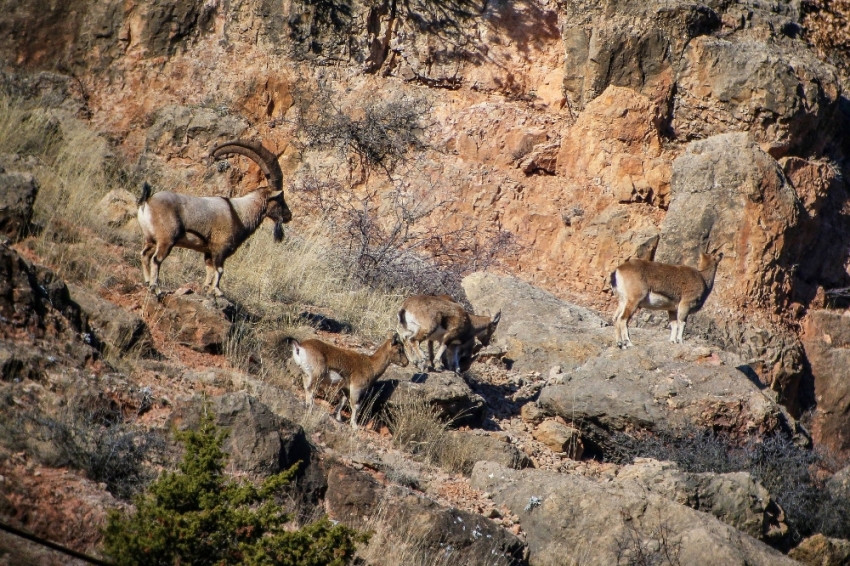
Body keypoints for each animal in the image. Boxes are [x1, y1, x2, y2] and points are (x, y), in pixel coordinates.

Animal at [134, 140, 290, 298]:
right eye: (280, 199)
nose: (288, 216)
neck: (240, 212)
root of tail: (147, 201)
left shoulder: (209, 251)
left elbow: (209, 270)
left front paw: (206, 289)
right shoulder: (221, 249)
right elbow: (220, 270)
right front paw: (217, 291)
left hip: (150, 239)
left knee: (144, 255)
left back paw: (147, 282)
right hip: (166, 240)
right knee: (156, 259)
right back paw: (156, 288)